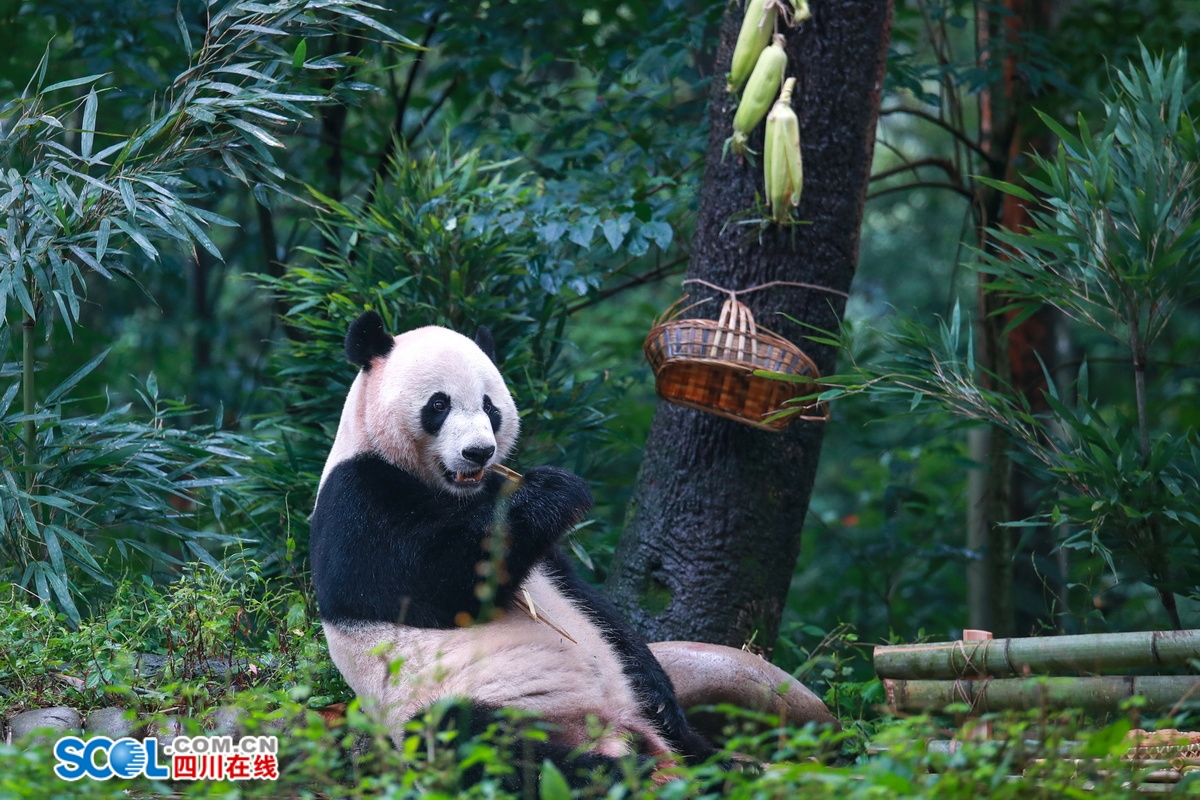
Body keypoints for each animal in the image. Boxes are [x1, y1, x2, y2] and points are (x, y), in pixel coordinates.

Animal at [309, 311, 715, 786]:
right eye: (438, 405)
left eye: (490, 406)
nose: (479, 452)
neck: (453, 493)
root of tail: (613, 732)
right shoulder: (357, 502)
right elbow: (438, 582)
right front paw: (554, 491)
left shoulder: (515, 520)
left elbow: (586, 596)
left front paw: (664, 694)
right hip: (457, 707)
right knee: (489, 745)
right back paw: (616, 772)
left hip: (631, 702)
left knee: (671, 723)